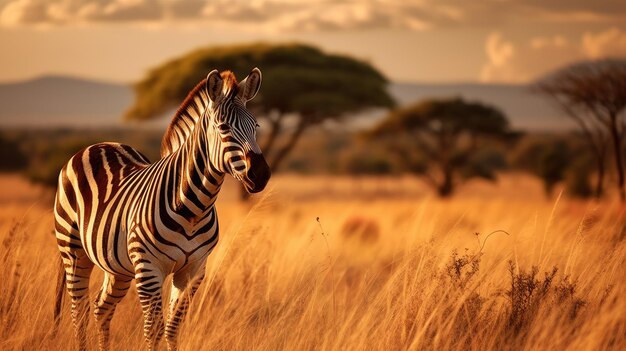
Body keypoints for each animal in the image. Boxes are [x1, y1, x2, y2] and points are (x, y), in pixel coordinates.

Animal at [51, 67, 270, 350]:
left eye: (256, 127)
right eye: (223, 128)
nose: (261, 174)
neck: (193, 209)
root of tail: (96, 145)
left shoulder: (193, 271)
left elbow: (172, 329)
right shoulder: (149, 269)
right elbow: (152, 330)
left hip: (117, 266)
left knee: (101, 309)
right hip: (74, 251)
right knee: (79, 313)